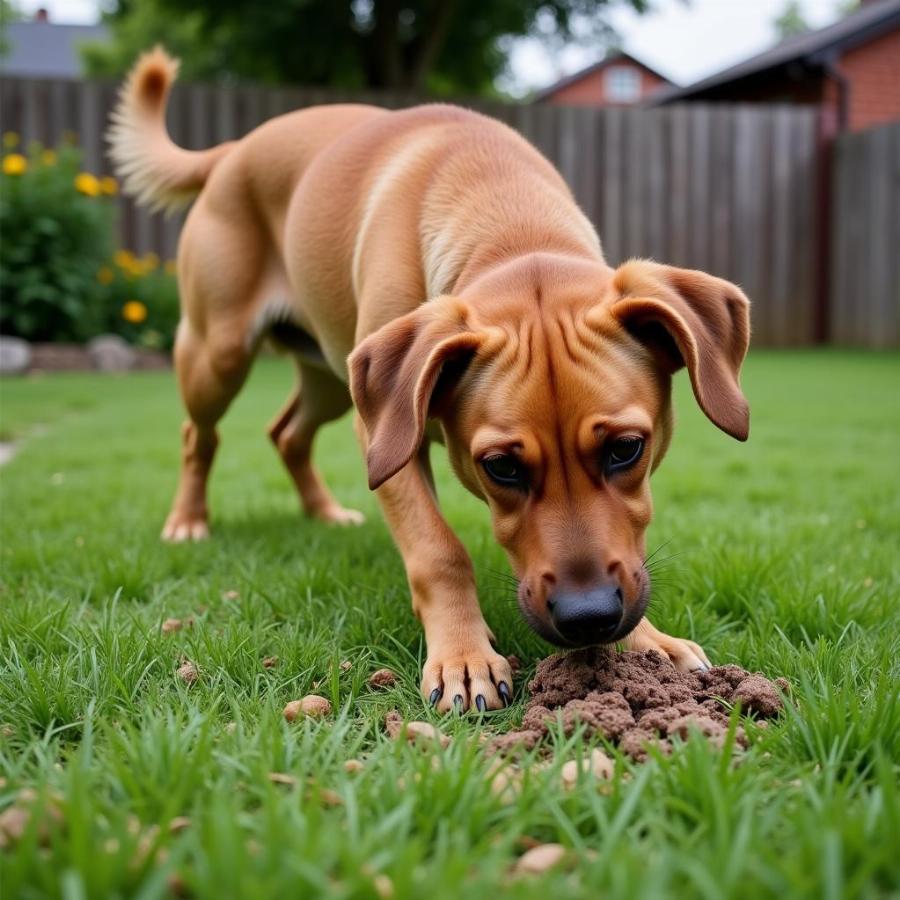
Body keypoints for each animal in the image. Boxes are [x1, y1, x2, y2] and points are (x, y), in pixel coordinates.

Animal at [109, 49, 748, 712]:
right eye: (502, 467)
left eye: (627, 449)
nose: (588, 616)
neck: (507, 221)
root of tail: (235, 150)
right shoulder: (386, 438)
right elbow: (438, 551)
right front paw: (464, 656)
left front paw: (647, 644)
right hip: (219, 354)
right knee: (199, 436)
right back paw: (189, 521)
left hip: (335, 376)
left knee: (288, 433)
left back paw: (323, 512)